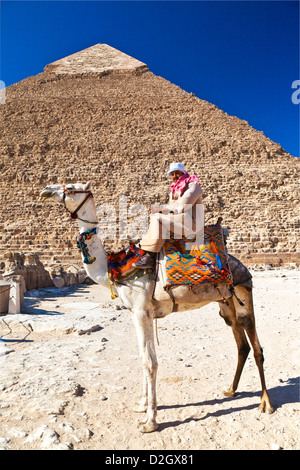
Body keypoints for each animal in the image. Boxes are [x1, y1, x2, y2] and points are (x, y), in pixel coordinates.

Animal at [41, 182, 276, 432]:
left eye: (72, 188)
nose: (46, 190)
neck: (113, 267)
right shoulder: (141, 313)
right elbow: (144, 357)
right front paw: (142, 404)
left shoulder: (140, 311)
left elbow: (149, 362)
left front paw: (150, 421)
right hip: (226, 304)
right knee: (242, 345)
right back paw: (231, 390)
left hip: (243, 294)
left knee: (257, 346)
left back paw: (266, 403)